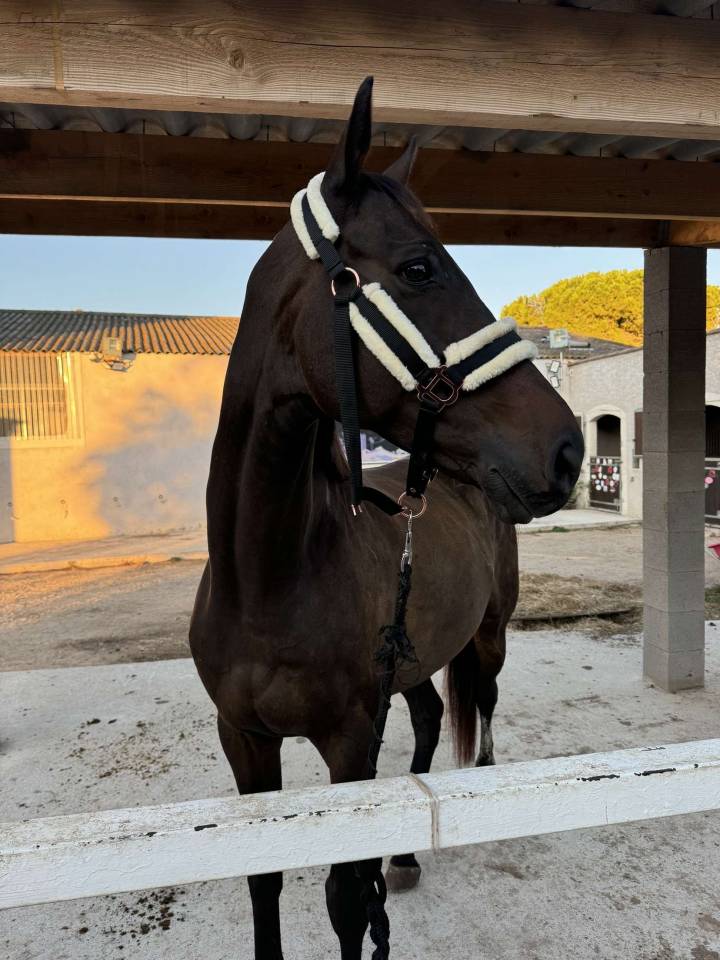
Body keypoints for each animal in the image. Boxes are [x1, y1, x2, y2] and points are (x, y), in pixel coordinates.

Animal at [190, 77, 583, 960]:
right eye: (417, 267)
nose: (569, 449)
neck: (270, 579)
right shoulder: (244, 739)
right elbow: (264, 880)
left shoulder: (346, 742)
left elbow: (343, 898)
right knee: (433, 714)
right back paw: (402, 856)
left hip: (487, 638)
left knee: (480, 711)